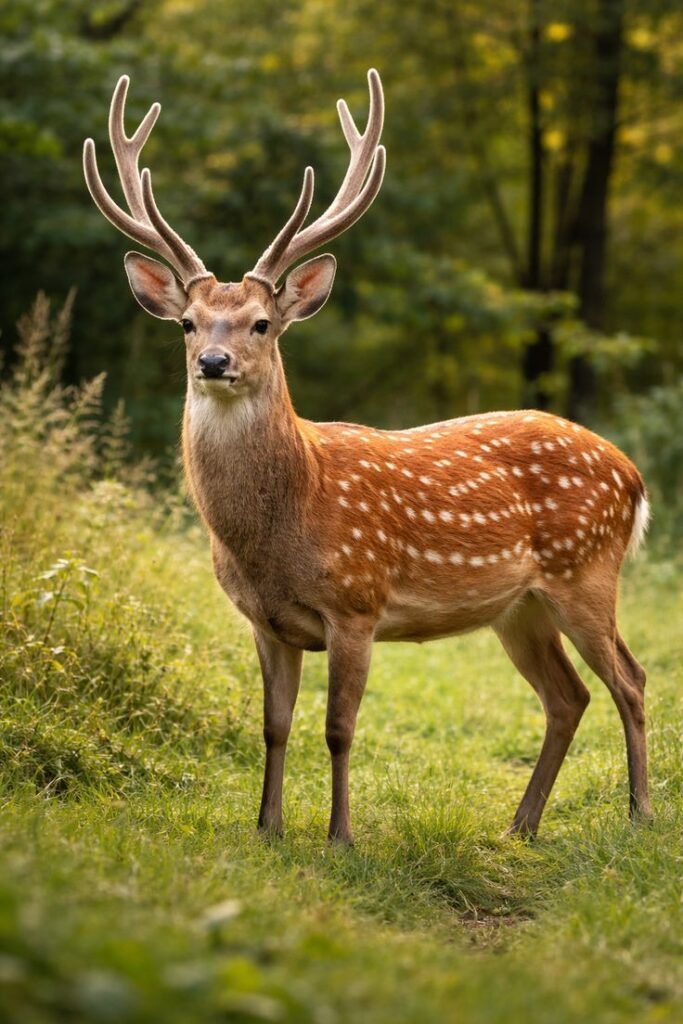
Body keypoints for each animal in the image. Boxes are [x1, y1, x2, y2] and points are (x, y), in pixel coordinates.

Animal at [83, 70, 652, 844]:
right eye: (187, 323)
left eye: (262, 323)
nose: (213, 362)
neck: (285, 521)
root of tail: (632, 475)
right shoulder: (265, 622)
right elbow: (274, 726)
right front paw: (267, 829)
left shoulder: (357, 602)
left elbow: (338, 728)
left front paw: (340, 837)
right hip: (520, 607)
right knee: (567, 697)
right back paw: (520, 827)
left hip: (586, 570)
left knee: (629, 680)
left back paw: (640, 812)